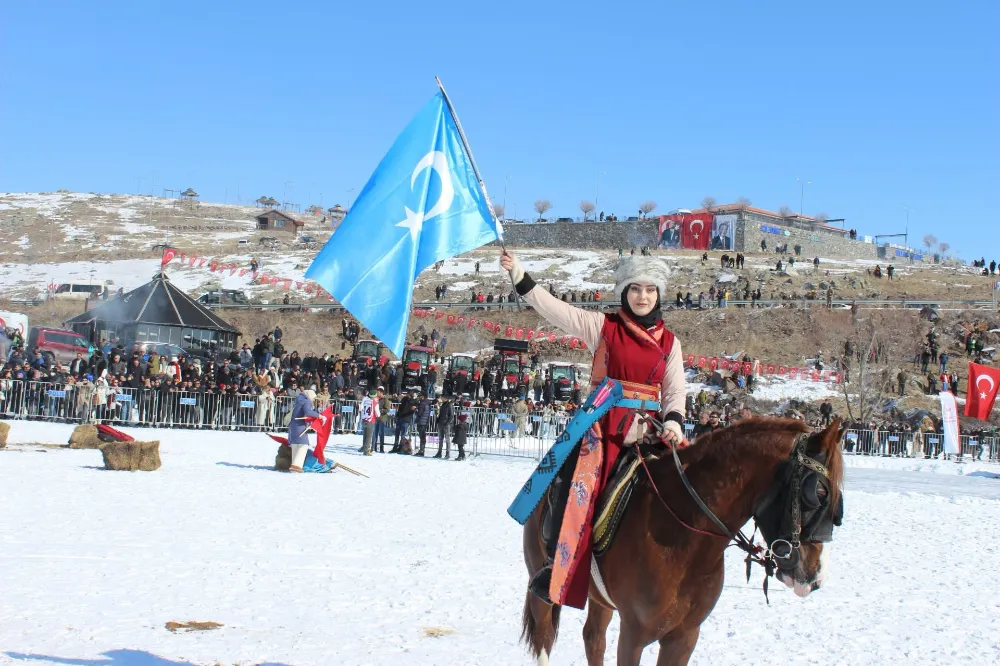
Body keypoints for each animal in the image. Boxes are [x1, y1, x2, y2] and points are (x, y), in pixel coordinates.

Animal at [524, 418, 844, 660]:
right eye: (819, 493)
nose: (816, 575)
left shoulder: (684, 637)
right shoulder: (633, 635)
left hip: (599, 599)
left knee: (593, 638)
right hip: (542, 589)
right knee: (544, 637)